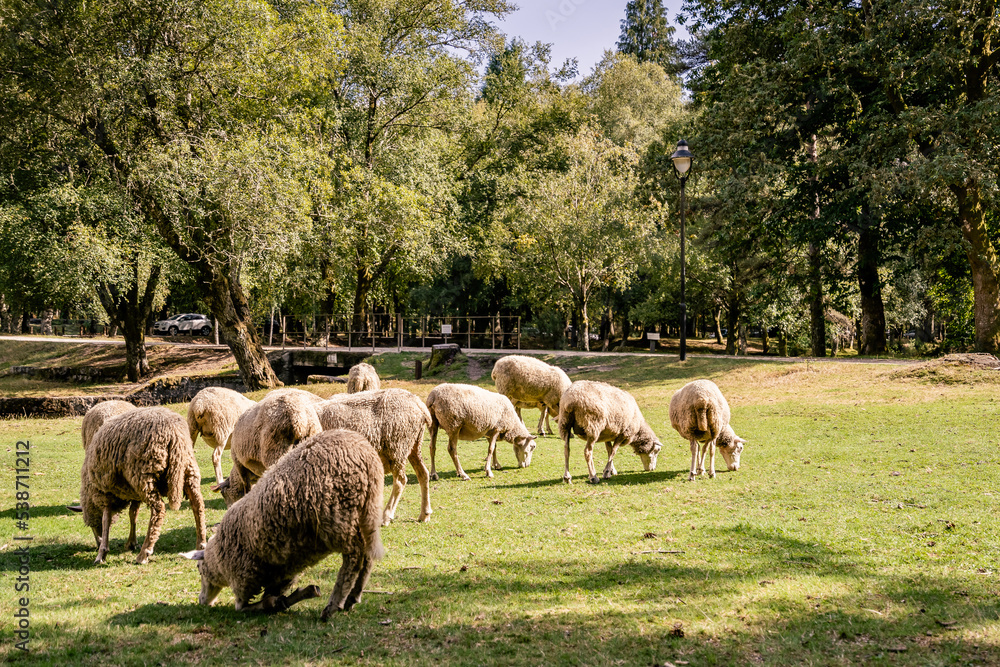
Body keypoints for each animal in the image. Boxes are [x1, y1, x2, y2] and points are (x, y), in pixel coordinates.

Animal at [76, 406, 206, 564]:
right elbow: (133, 514)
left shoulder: (103, 492)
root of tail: (174, 433)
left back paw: (144, 553)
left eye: (92, 527)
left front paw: (102, 553)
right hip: (188, 470)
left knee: (159, 509)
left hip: (144, 474)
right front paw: (131, 542)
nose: (97, 543)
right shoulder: (133, 493)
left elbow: (106, 519)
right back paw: (201, 543)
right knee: (198, 505)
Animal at [181, 429, 385, 619]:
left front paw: (275, 603)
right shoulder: (282, 571)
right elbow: (276, 592)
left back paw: (333, 605)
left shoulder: (244, 578)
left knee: (354, 557)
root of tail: (367, 456)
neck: (218, 559)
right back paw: (353, 597)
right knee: (367, 556)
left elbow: (243, 607)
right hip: (367, 512)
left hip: (338, 517)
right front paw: (296, 596)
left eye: (199, 569)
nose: (202, 601)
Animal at [316, 389, 432, 525]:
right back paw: (424, 514)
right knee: (423, 474)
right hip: (414, 444)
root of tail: (418, 402)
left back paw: (386, 516)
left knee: (400, 481)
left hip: (397, 446)